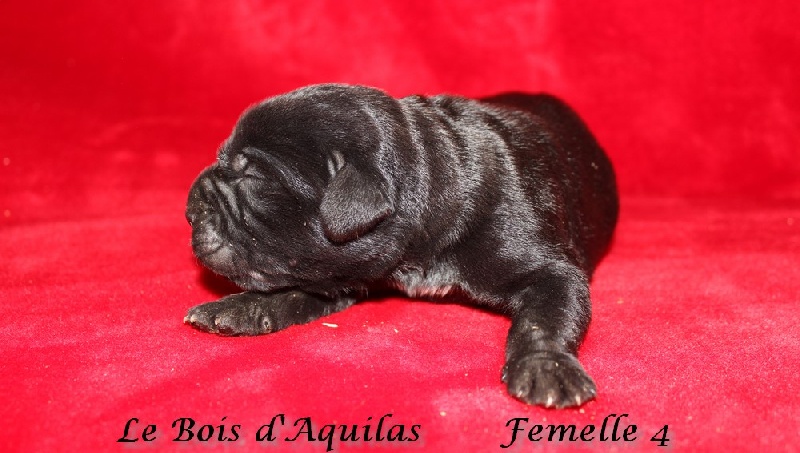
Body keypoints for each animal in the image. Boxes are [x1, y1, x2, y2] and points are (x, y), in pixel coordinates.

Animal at [185, 84, 618, 408]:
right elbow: (294, 289)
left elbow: (543, 316)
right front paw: (240, 307)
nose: (190, 209)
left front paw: (546, 366)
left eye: (253, 177)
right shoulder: (342, 270)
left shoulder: (547, 265)